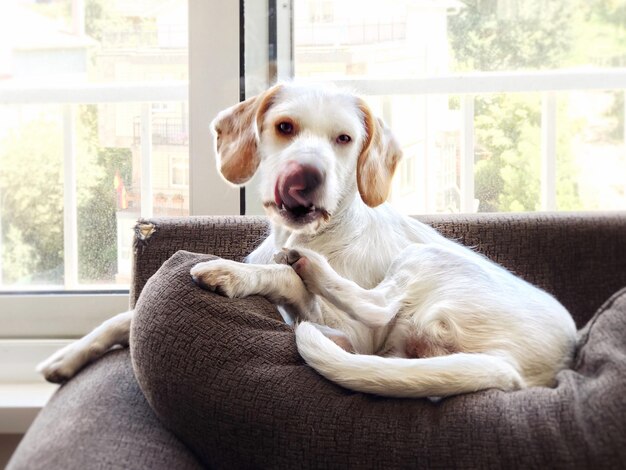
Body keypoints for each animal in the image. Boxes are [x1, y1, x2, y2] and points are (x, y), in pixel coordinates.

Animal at [39, 83, 576, 396]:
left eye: (345, 139)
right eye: (284, 127)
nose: (305, 177)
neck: (313, 234)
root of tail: (513, 368)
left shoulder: (344, 328)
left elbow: (280, 276)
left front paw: (236, 272)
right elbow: (122, 317)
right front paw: (68, 358)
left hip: (421, 262)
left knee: (371, 302)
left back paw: (303, 267)